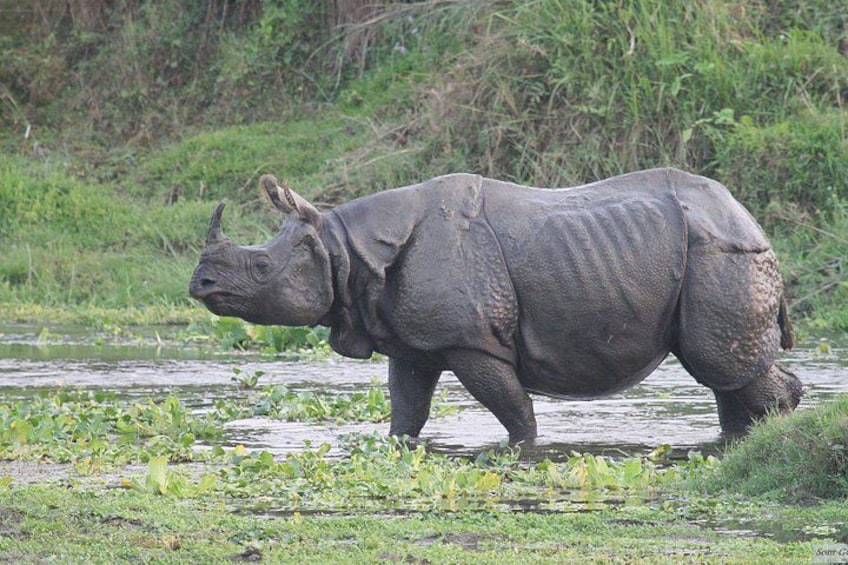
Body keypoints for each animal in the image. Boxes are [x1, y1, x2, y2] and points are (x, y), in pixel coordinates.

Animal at [189, 168, 803, 443]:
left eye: (261, 268)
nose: (199, 284)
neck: (345, 248)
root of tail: (750, 219)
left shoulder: (471, 341)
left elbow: (512, 407)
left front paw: (522, 450)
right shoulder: (412, 340)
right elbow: (406, 407)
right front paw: (398, 446)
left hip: (721, 254)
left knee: (719, 363)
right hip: (708, 251)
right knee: (726, 373)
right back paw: (740, 443)